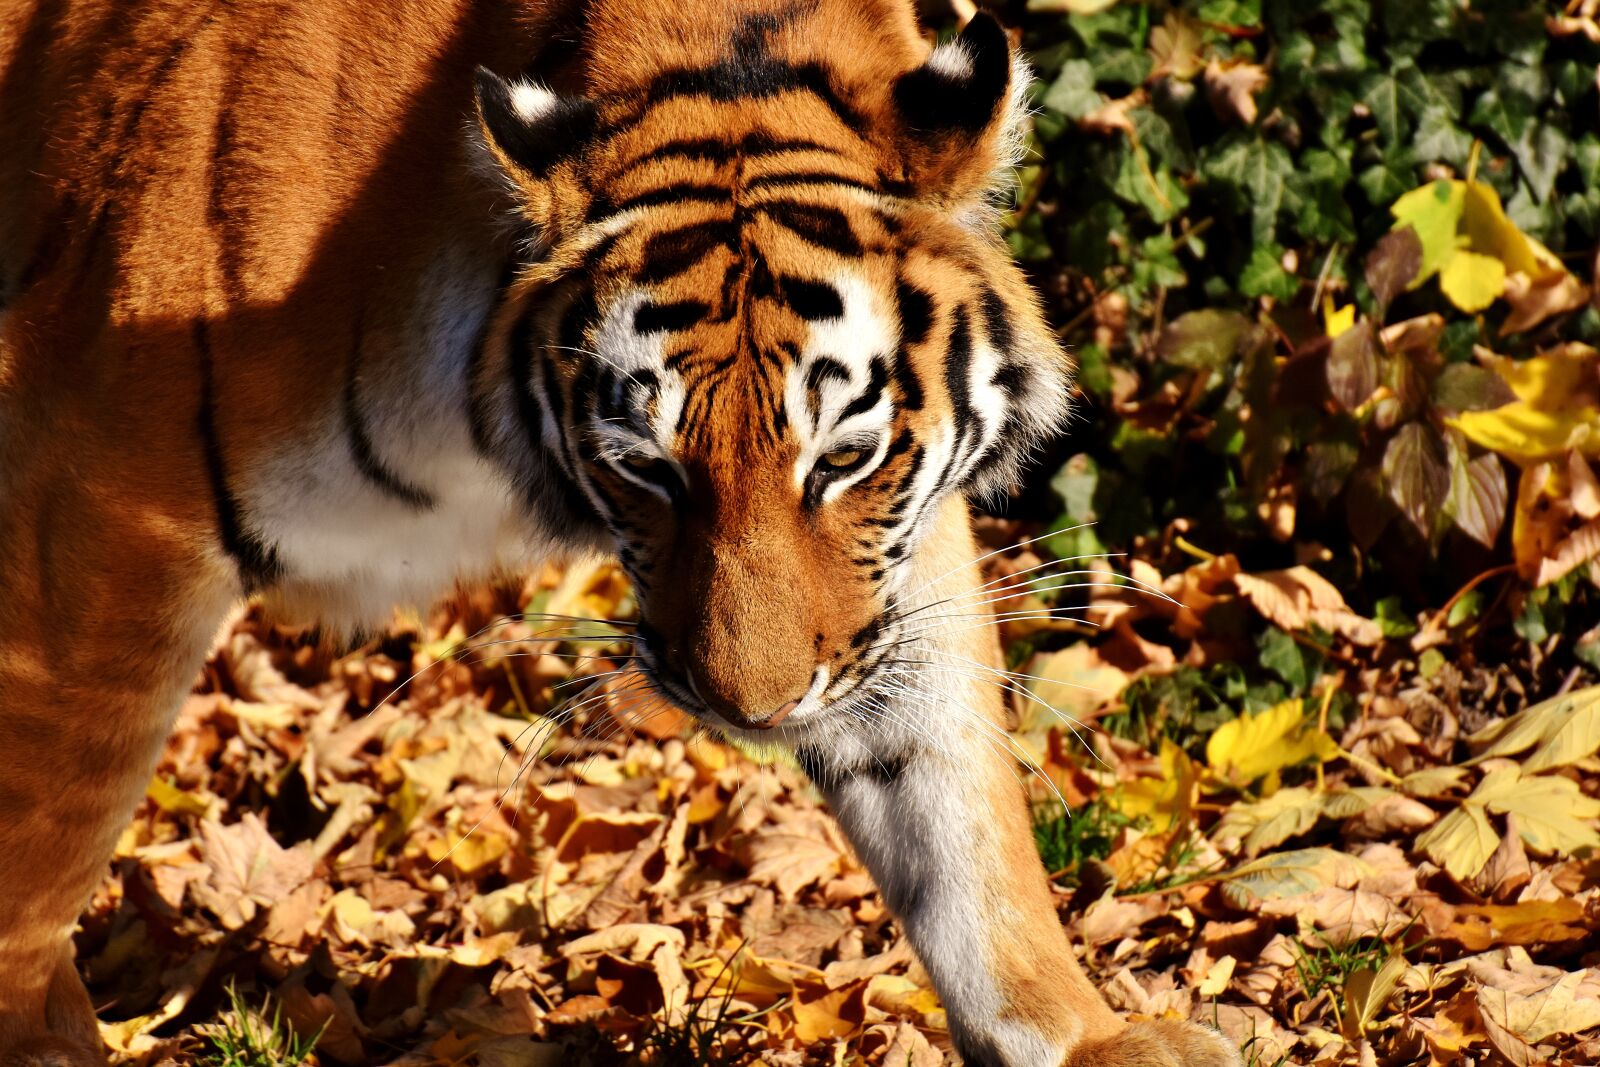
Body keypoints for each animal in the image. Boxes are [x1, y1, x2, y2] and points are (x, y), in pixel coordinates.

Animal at [0, 0, 1239, 1064]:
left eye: (844, 457)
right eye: (645, 465)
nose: (754, 710)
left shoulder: (891, 567)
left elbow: (952, 793)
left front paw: (1084, 1030)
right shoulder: (108, 496)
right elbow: (48, 839)